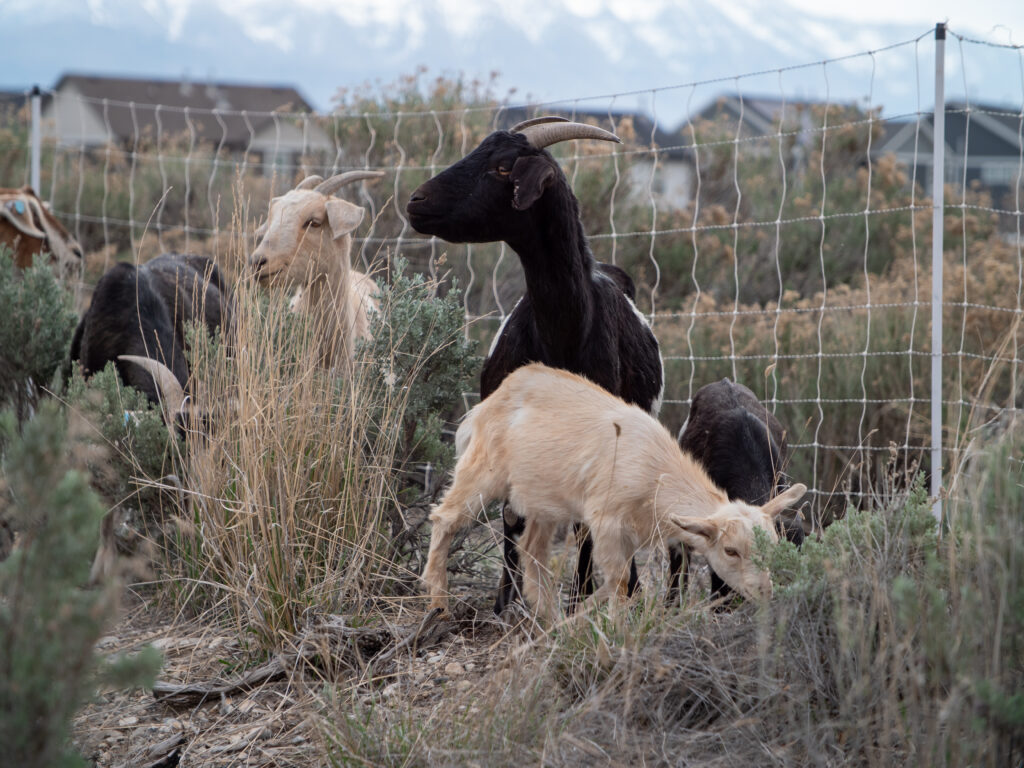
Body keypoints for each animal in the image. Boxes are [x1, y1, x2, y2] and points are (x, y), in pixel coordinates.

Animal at [407, 116, 664, 613]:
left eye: (504, 168)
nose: (415, 201)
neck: (565, 330)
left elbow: (585, 527)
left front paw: (579, 600)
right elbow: (512, 513)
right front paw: (507, 602)